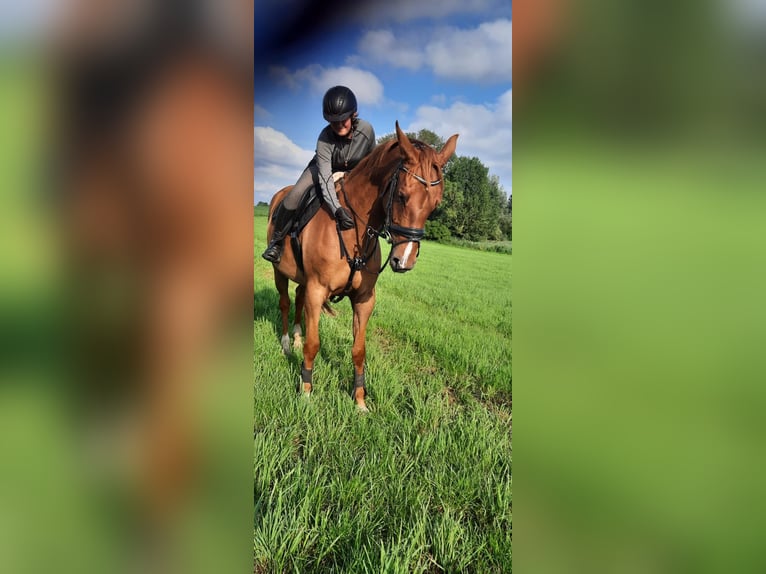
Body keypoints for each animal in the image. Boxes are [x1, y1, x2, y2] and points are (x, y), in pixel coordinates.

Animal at [267, 121, 458, 412]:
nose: (404, 260)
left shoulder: (364, 299)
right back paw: (288, 344)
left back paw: (297, 337)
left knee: (297, 300)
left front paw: (359, 401)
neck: (351, 227)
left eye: (435, 204)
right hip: (280, 272)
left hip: (302, 281)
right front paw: (306, 392)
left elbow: (359, 350)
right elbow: (314, 344)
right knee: (286, 303)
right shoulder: (317, 290)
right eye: (401, 196)